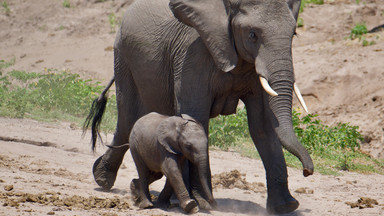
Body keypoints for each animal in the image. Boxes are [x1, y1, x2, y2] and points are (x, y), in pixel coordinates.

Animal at [85, 0, 316, 213]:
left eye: (294, 34)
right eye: (252, 35)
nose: (307, 172)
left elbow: (264, 126)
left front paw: (286, 207)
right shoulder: (192, 54)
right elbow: (197, 116)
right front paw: (204, 204)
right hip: (124, 56)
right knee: (128, 118)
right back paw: (103, 180)